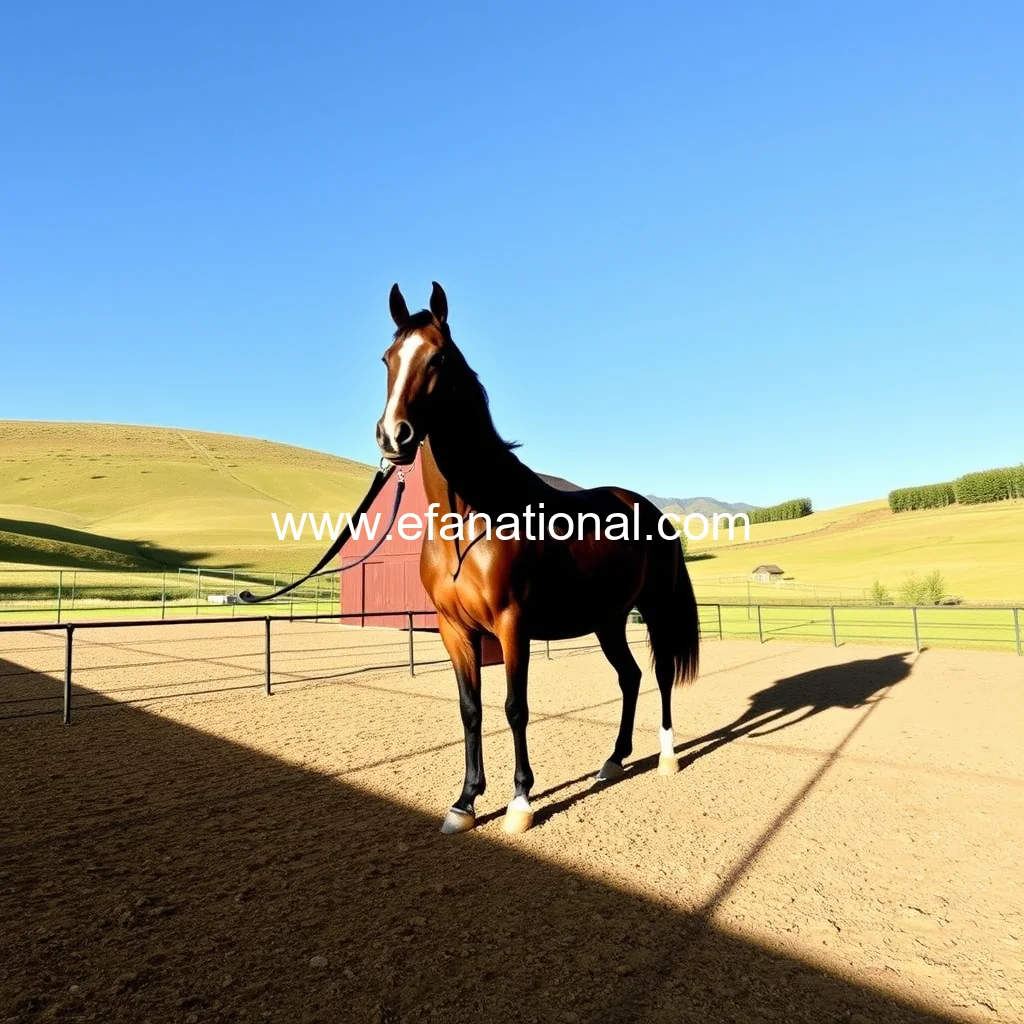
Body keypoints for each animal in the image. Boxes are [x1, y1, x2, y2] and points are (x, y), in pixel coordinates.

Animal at [376, 282, 700, 834]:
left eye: (437, 358)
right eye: (387, 359)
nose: (393, 435)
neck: (470, 520)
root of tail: (646, 507)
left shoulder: (513, 625)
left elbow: (514, 707)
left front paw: (520, 802)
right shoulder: (453, 629)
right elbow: (471, 709)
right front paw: (465, 802)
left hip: (654, 610)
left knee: (659, 676)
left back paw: (666, 758)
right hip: (608, 619)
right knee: (630, 677)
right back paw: (613, 761)